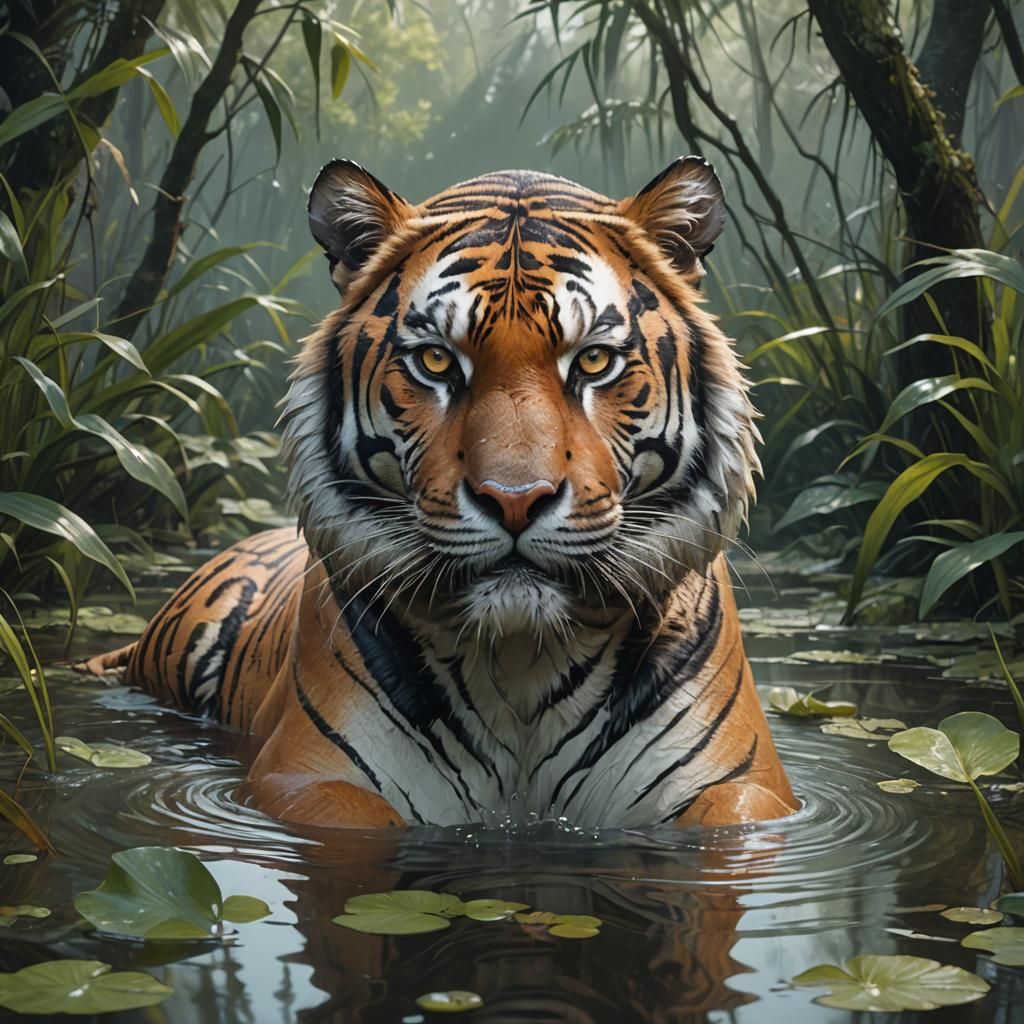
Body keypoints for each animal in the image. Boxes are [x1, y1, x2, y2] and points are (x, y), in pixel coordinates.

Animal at [85, 156, 797, 830]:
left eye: (594, 361)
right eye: (435, 362)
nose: (515, 499)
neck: (521, 662)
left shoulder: (745, 788)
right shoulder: (304, 778)